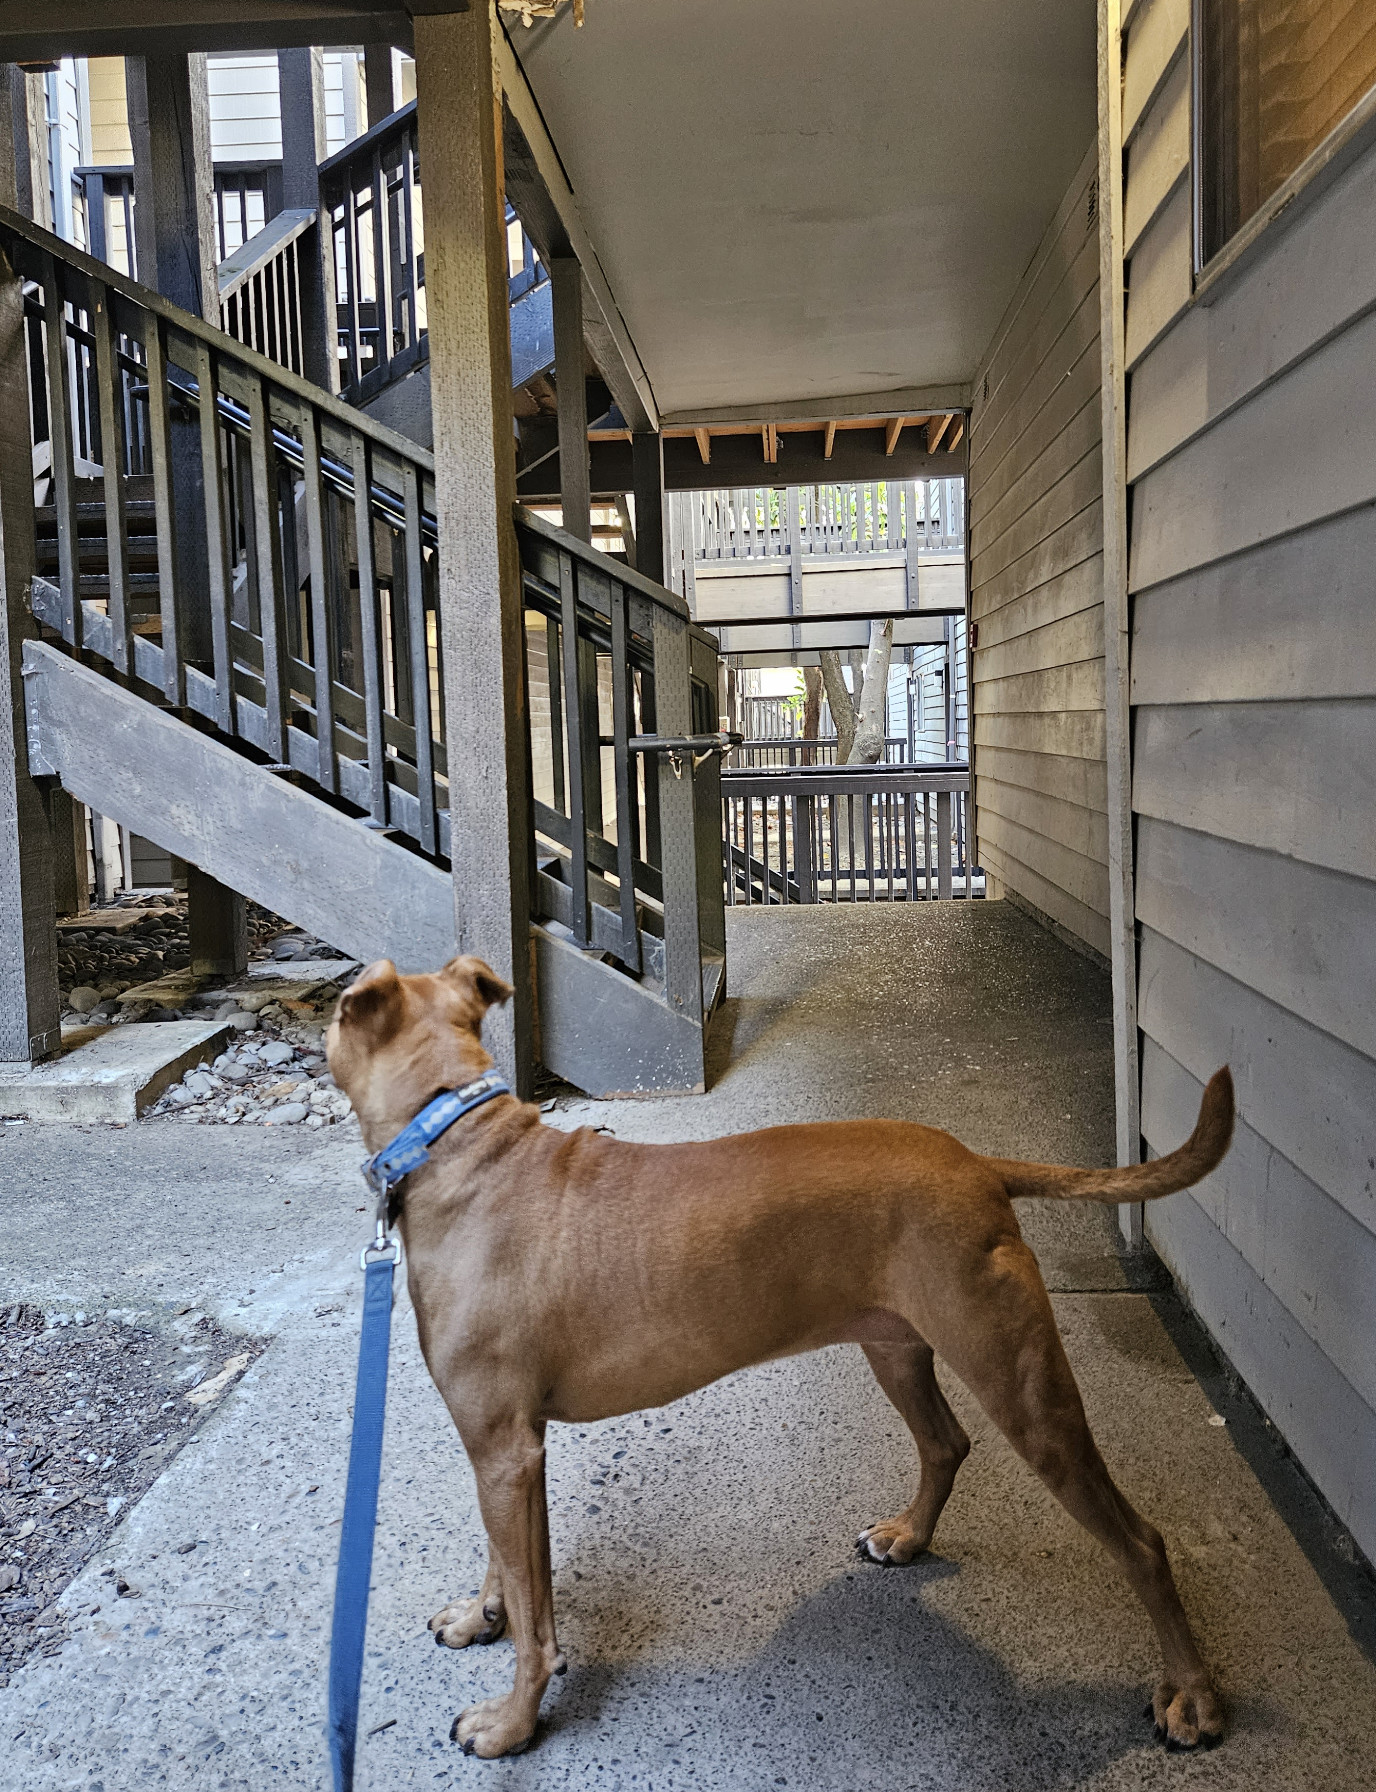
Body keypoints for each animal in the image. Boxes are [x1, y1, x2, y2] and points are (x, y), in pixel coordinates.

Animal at [326, 960, 1232, 1756]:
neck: (454, 1136)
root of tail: (977, 1165)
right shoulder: (503, 1448)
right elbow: (507, 1567)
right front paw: (482, 1617)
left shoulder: (506, 1448)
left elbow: (538, 1624)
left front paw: (511, 1724)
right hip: (894, 1349)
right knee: (946, 1443)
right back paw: (908, 1537)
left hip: (1022, 1387)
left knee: (1142, 1541)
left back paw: (1190, 1694)